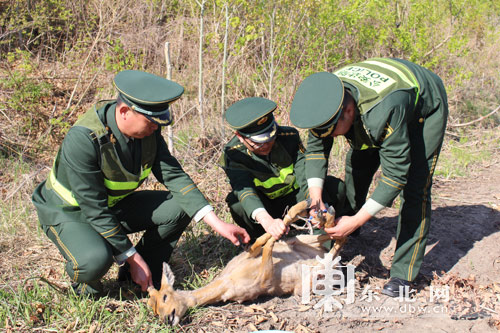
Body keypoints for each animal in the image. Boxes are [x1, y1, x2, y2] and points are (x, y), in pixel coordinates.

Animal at [146, 200, 346, 324]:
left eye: (164, 296)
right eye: (152, 309)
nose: (167, 320)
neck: (226, 281)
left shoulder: (250, 256)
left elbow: (261, 241)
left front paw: (297, 211)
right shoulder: (261, 282)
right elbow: (267, 245)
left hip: (301, 240)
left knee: (334, 239)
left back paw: (323, 215)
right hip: (312, 274)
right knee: (335, 247)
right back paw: (328, 218)